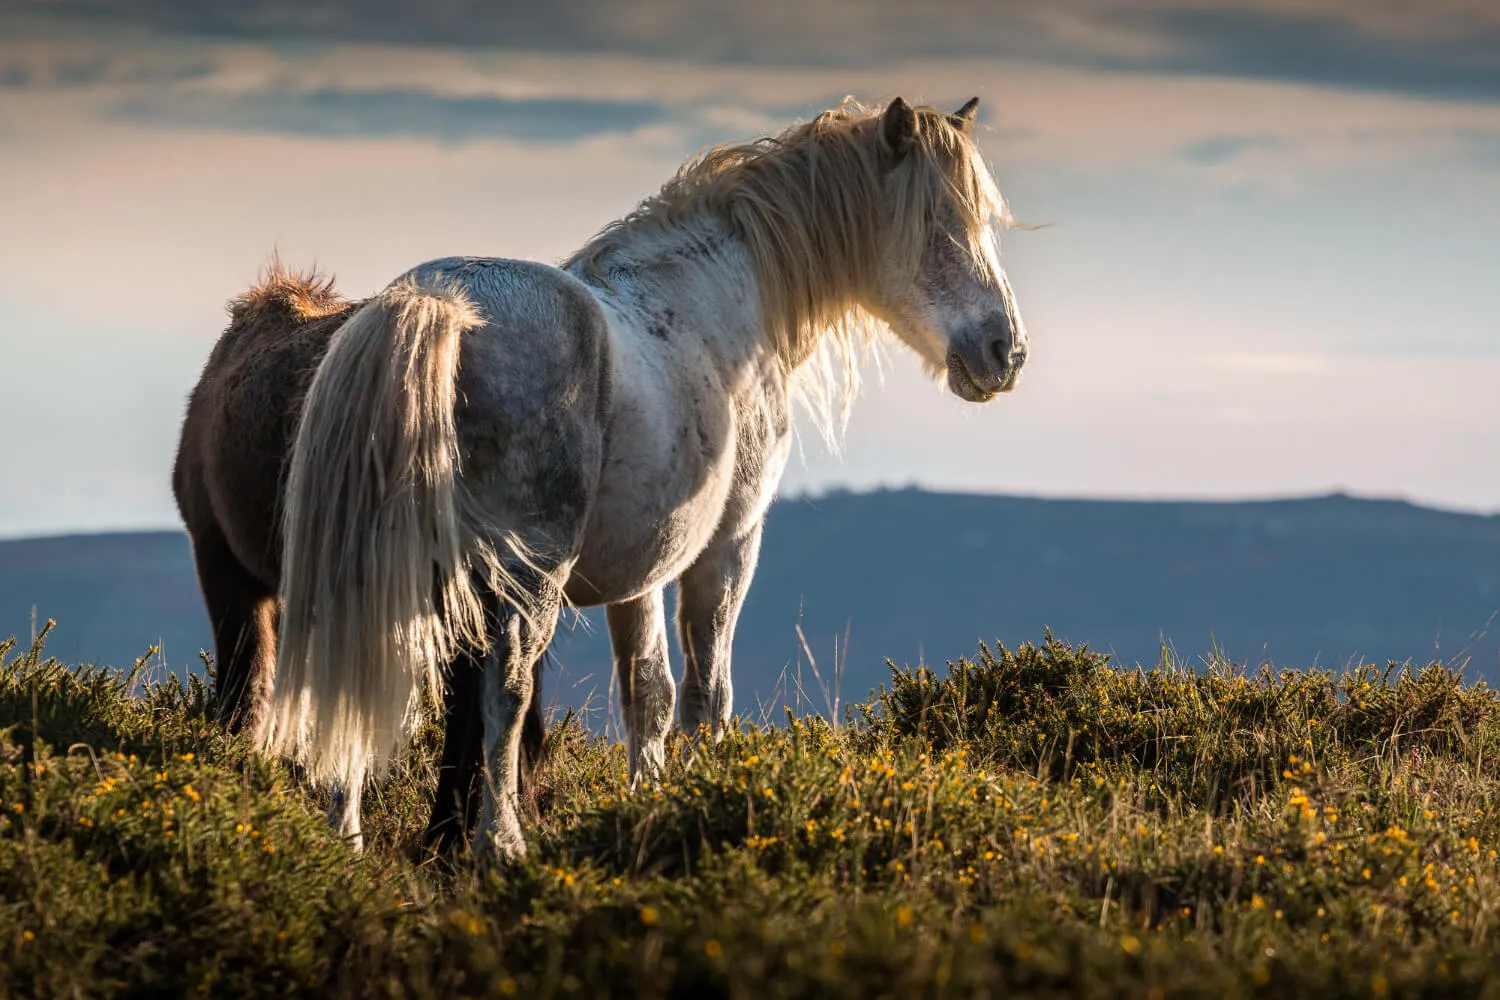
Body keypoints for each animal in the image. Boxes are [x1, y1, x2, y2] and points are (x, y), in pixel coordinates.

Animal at [257, 95, 1029, 860]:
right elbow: (705, 694)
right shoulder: (728, 545)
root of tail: (437, 305)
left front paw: (646, 800)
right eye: (938, 223)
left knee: (358, 680)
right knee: (505, 689)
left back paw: (345, 838)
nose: (1007, 351)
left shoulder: (641, 574)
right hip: (528, 574)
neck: (720, 299)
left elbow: (647, 694)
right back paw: (501, 844)